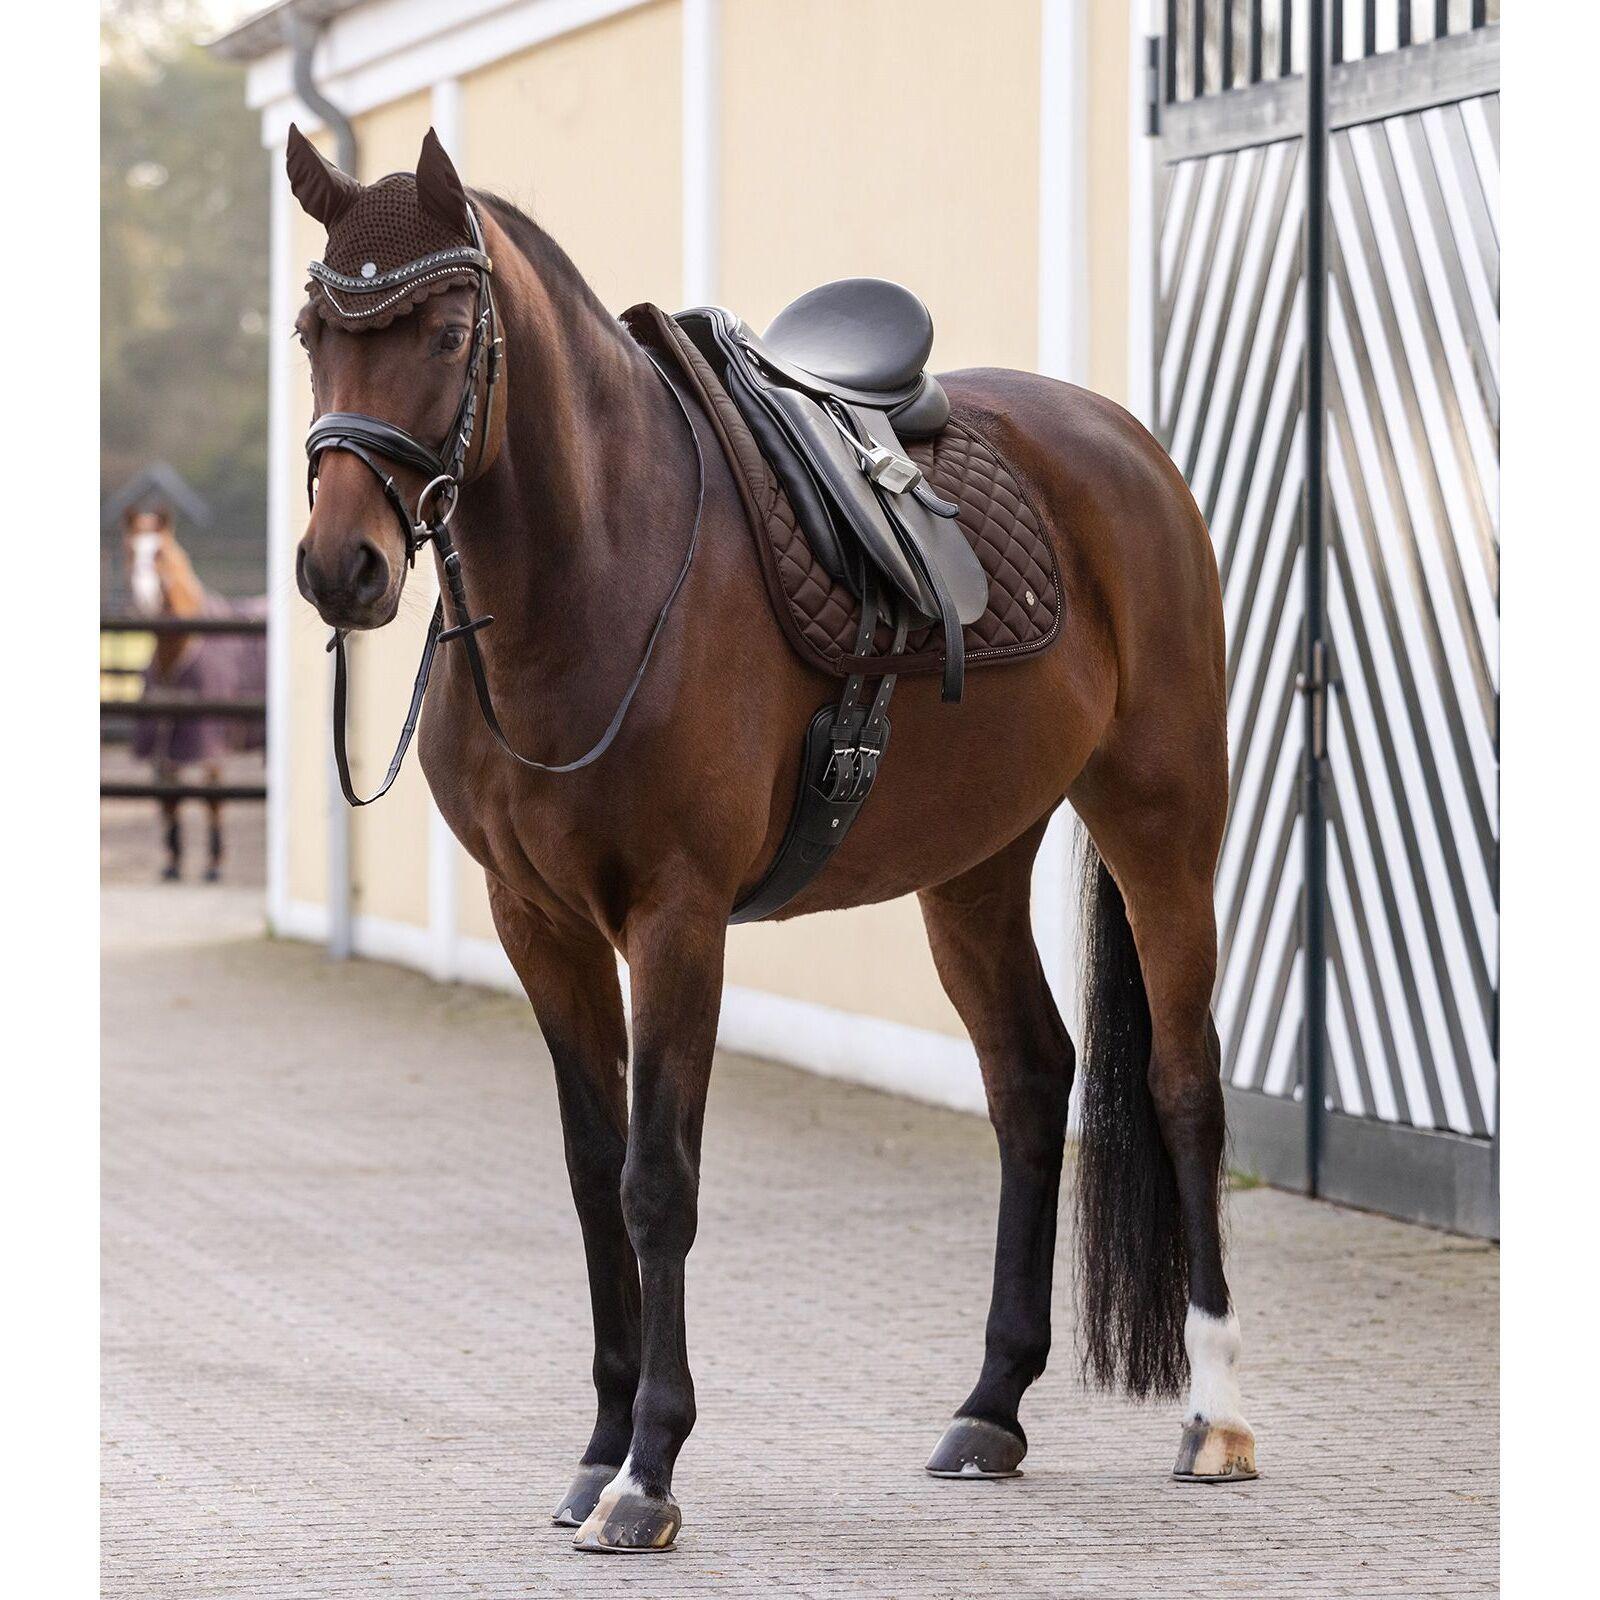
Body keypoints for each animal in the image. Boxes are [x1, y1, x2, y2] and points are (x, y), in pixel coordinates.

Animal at [122, 506, 267, 882]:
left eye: (160, 552)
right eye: (129, 549)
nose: (143, 600)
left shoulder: (207, 738)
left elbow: (212, 798)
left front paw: (214, 864)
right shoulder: (167, 738)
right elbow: (172, 796)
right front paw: (173, 862)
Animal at [286, 126, 1256, 1554]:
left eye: (451, 328)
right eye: (316, 330)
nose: (339, 567)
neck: (601, 570)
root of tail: (1127, 446)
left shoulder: (675, 921)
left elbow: (657, 1180)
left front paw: (647, 1472)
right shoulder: (539, 924)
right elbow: (592, 1174)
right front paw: (595, 1451)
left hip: (1163, 818)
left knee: (1184, 1086)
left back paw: (1218, 1415)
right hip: (971, 867)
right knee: (1031, 1082)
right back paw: (990, 1408)